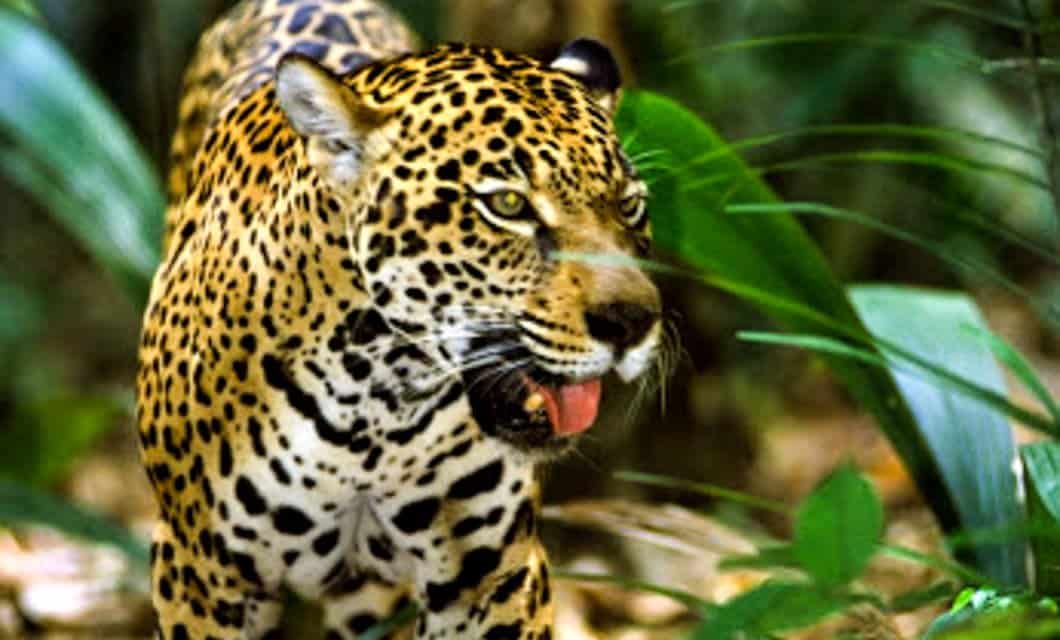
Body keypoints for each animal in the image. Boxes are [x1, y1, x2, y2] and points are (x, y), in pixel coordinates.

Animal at [136, 1, 662, 638]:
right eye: (507, 204)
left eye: (630, 205)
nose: (633, 322)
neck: (375, 404)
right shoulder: (202, 575)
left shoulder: (492, 577)